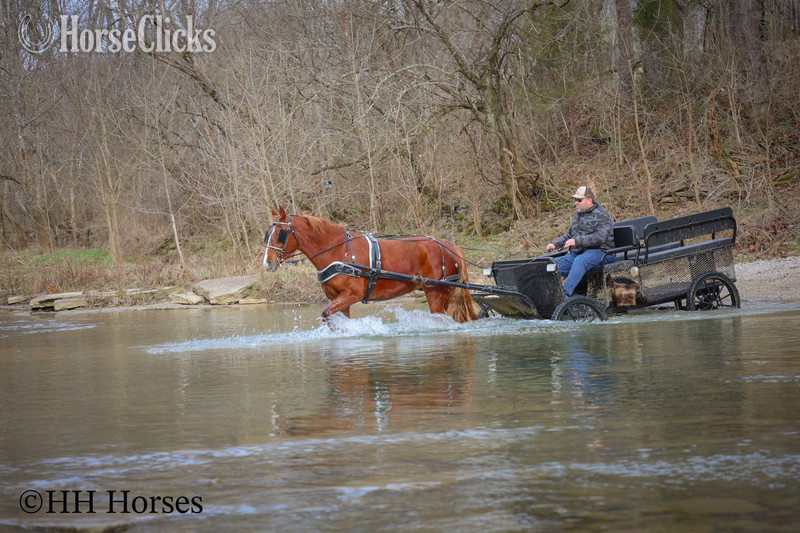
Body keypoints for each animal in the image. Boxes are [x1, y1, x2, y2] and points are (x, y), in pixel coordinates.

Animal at [263, 206, 478, 325]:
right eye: (267, 234)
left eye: (281, 233)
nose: (267, 262)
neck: (338, 250)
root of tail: (449, 246)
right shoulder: (338, 298)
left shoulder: (352, 294)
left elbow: (326, 314)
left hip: (435, 292)